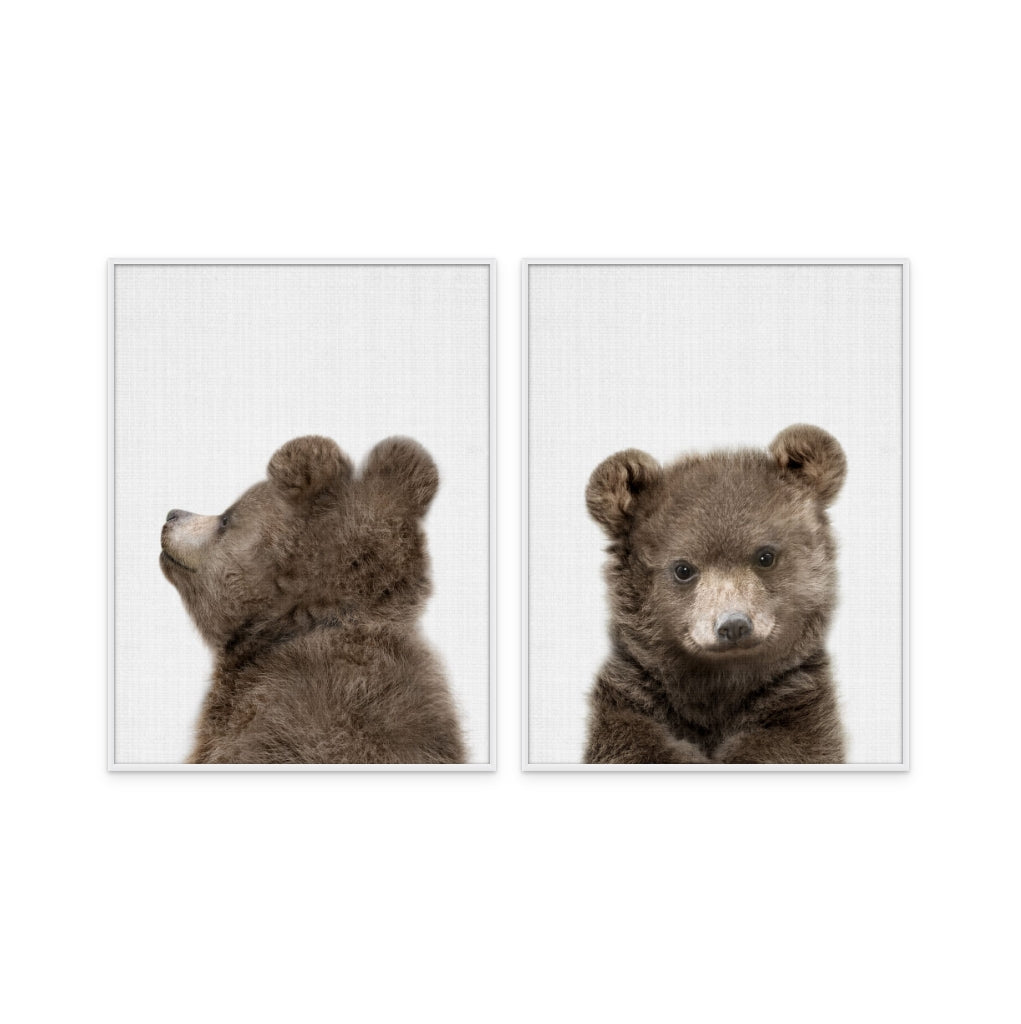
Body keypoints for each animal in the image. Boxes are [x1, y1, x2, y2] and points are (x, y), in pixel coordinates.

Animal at [583, 424, 847, 765]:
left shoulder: (797, 704)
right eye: (683, 568)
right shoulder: (632, 699)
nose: (733, 625)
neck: (718, 686)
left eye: (765, 556)